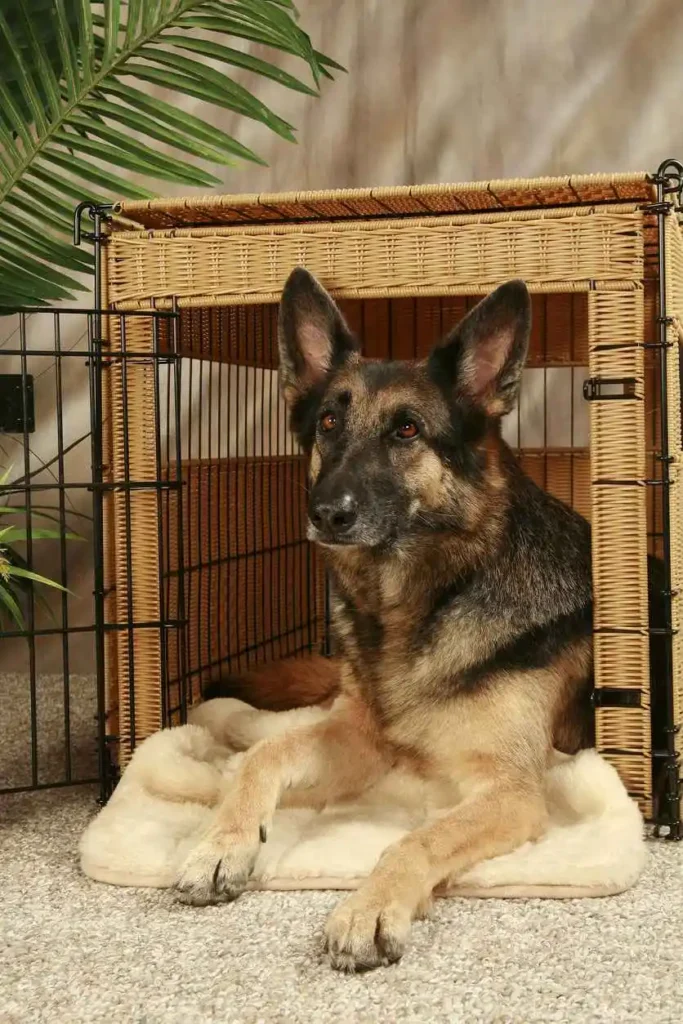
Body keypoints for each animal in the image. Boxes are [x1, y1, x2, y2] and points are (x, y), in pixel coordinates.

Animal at [175, 268, 598, 970]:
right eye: (327, 421)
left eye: (407, 431)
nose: (325, 513)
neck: (419, 605)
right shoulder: (359, 736)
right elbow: (265, 751)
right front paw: (221, 843)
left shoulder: (511, 791)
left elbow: (416, 839)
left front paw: (368, 906)